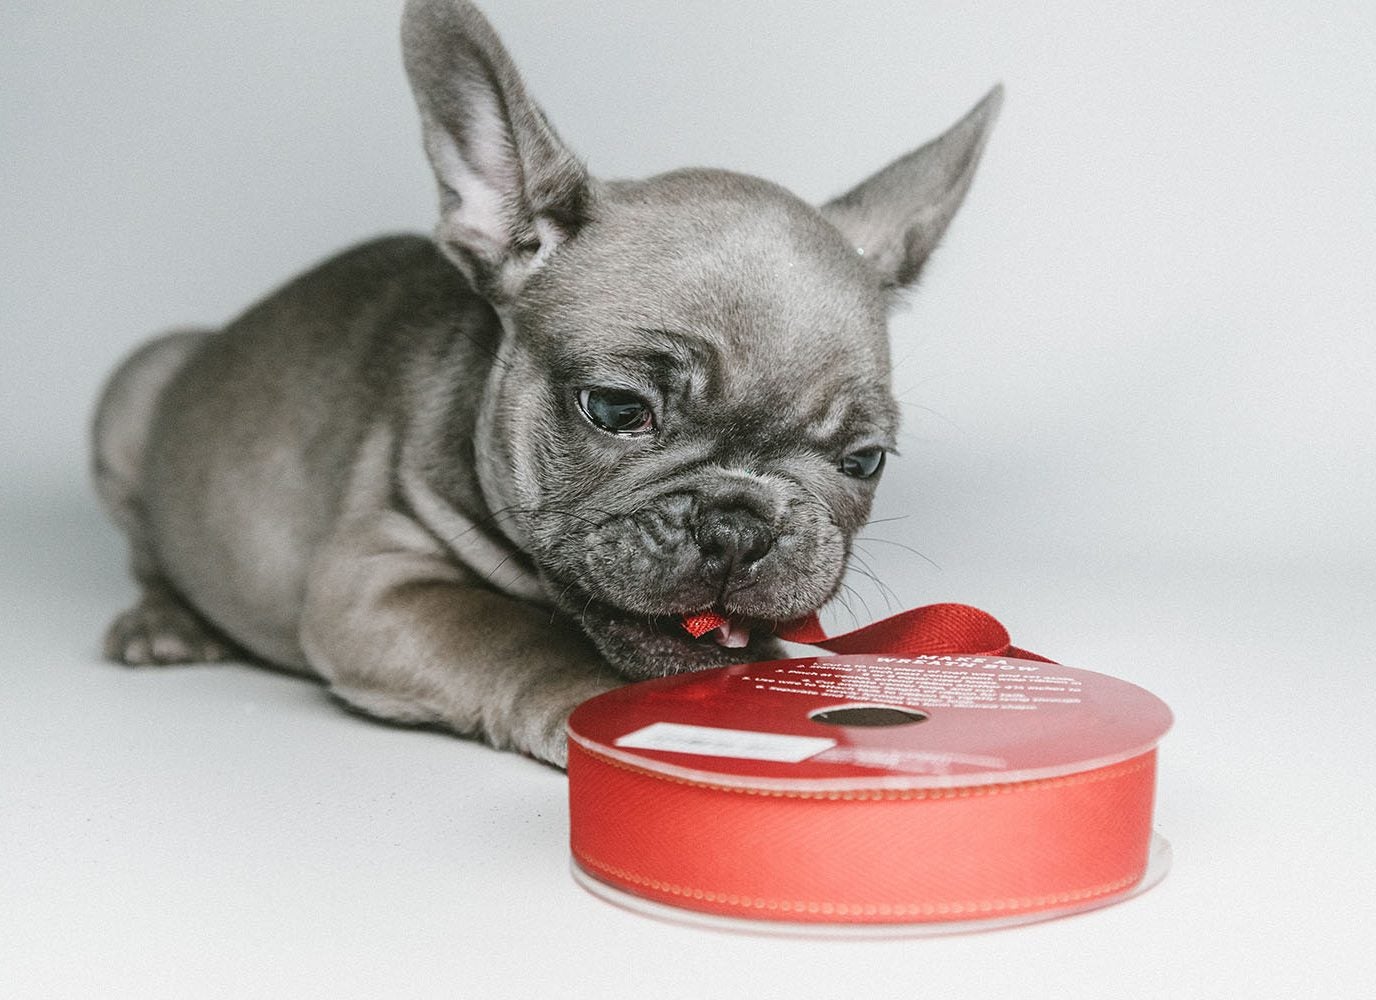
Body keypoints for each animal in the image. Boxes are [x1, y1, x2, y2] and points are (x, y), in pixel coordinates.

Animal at [91, 0, 1001, 766]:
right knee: (145, 548)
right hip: (133, 393)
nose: (738, 525)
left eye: (864, 461)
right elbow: (516, 635)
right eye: (616, 409)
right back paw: (162, 620)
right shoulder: (375, 583)